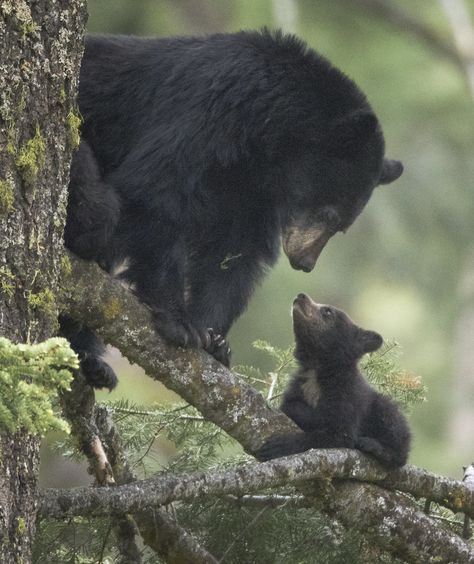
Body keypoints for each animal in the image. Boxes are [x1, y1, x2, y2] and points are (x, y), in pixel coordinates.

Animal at [63, 29, 404, 388]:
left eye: (341, 227)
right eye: (329, 214)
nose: (305, 263)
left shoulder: (250, 188)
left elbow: (234, 253)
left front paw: (215, 341)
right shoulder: (206, 110)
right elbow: (157, 189)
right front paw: (179, 322)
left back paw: (91, 363)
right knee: (99, 208)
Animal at [258, 294, 410, 470]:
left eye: (328, 311)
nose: (300, 296)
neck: (318, 369)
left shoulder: (347, 395)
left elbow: (338, 434)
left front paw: (280, 445)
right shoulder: (299, 385)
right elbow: (290, 405)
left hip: (382, 409)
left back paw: (374, 446)